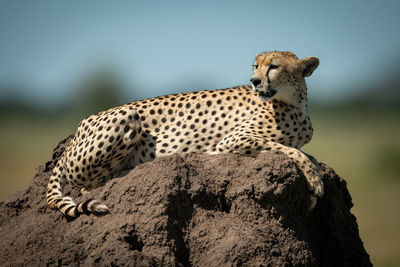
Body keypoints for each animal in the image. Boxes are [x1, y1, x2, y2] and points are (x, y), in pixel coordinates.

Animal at [47, 51, 324, 219]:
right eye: (256, 66)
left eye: (274, 67)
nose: (254, 80)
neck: (295, 102)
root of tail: (79, 127)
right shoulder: (231, 141)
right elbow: (291, 150)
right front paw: (316, 184)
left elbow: (303, 151)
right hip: (127, 115)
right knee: (87, 186)